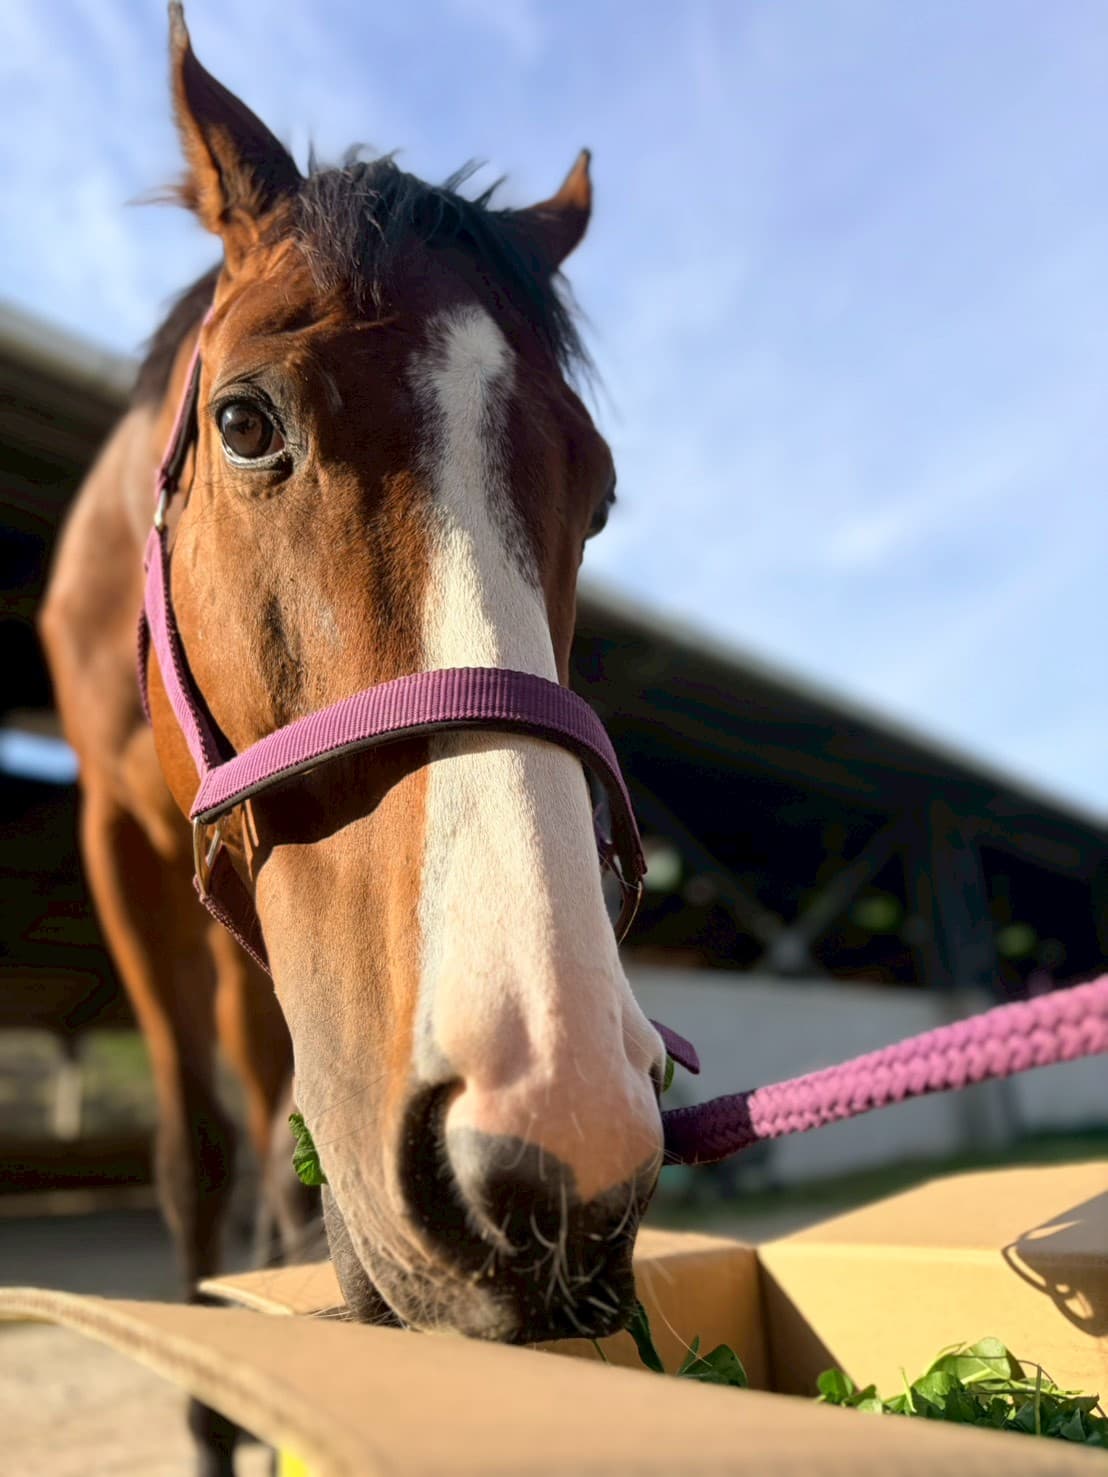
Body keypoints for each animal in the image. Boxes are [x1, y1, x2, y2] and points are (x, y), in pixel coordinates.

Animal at [41, 4, 666, 1464]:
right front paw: (215, 1413)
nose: (560, 1125)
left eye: (600, 497)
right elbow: (196, 1154)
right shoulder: (122, 843)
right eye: (243, 420)